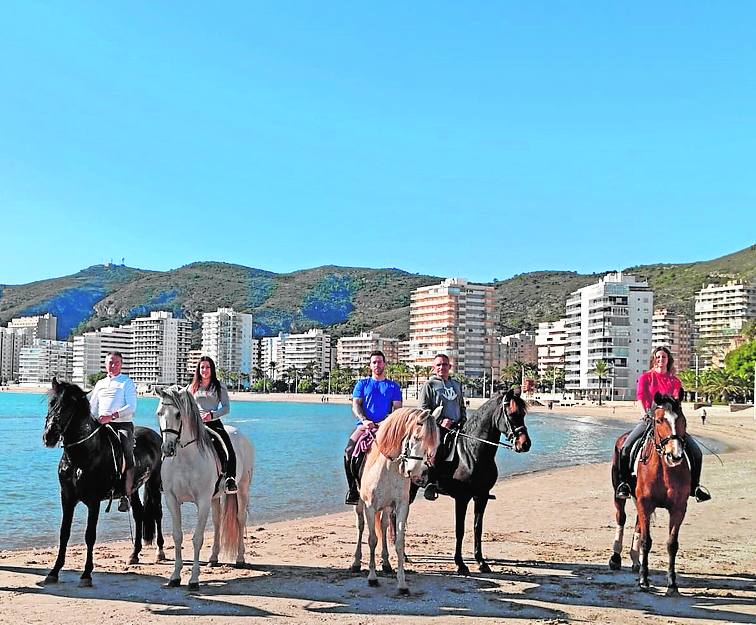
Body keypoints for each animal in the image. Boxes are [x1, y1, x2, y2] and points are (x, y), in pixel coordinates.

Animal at [42, 378, 164, 588]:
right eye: (52, 402)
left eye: (69, 406)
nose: (49, 435)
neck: (82, 454)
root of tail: (155, 436)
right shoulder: (67, 498)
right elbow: (64, 533)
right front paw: (54, 572)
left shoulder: (93, 501)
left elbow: (90, 535)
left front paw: (86, 575)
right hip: (132, 490)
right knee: (139, 514)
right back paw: (134, 554)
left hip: (155, 484)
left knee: (157, 514)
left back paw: (160, 551)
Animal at [157, 386, 256, 588]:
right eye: (159, 413)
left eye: (178, 414)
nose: (168, 449)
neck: (185, 458)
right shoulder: (172, 500)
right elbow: (178, 536)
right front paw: (175, 577)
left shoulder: (202, 501)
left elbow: (197, 538)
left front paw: (194, 579)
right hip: (215, 497)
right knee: (218, 522)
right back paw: (213, 558)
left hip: (242, 489)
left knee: (240, 519)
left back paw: (240, 559)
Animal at [352, 404, 440, 596]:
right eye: (416, 437)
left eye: (434, 444)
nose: (418, 474)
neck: (388, 467)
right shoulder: (370, 507)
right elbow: (372, 539)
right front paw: (372, 578)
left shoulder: (401, 506)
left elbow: (399, 542)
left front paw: (402, 583)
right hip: (360, 505)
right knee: (361, 527)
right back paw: (355, 562)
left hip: (386, 508)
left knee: (384, 526)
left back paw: (386, 564)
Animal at [432, 390, 532, 576]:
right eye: (512, 414)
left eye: (523, 414)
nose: (525, 444)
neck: (472, 452)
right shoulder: (462, 498)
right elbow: (460, 530)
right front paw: (460, 564)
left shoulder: (482, 497)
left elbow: (477, 528)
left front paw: (481, 561)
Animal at [608, 390, 692, 596]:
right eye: (660, 420)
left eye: (683, 420)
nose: (675, 455)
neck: (665, 470)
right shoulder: (645, 503)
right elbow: (647, 541)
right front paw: (643, 581)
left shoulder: (678, 508)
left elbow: (672, 544)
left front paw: (672, 584)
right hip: (620, 495)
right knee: (621, 518)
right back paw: (616, 557)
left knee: (638, 523)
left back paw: (635, 559)